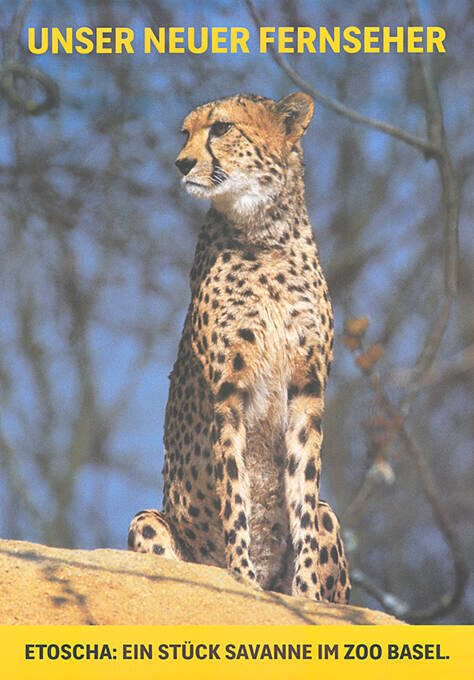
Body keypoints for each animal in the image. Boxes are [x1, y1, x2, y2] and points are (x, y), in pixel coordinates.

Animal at [128, 93, 350, 604]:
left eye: (222, 128)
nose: (181, 163)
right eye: (185, 134)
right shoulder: (227, 394)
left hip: (332, 514)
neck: (264, 235)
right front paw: (242, 579)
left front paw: (304, 595)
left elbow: (303, 499)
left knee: (321, 512)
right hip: (147, 521)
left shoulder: (307, 392)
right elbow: (235, 493)